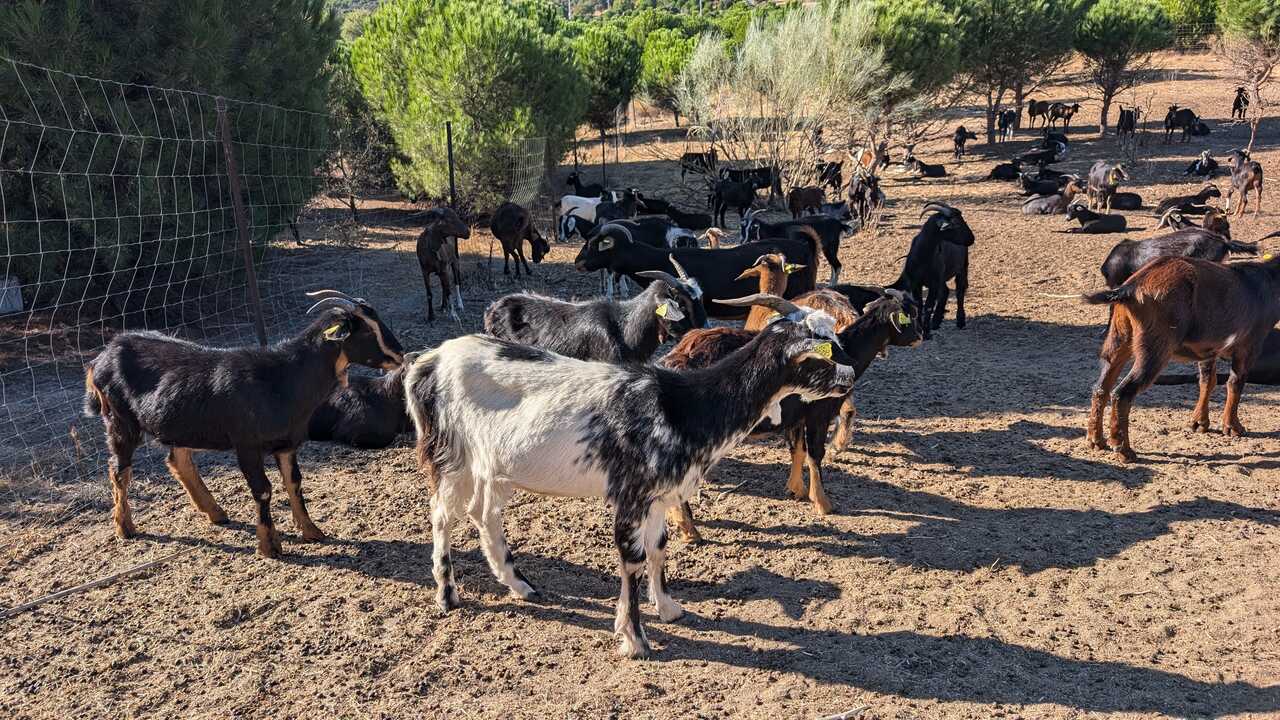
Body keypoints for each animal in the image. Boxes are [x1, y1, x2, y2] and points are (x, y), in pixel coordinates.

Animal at [84, 291, 404, 557]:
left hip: (180, 424)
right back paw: (125, 528)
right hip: (120, 421)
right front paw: (270, 547)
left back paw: (215, 513)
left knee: (178, 460)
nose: (399, 354)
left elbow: (294, 483)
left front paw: (312, 532)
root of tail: (101, 358)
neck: (283, 378)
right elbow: (263, 489)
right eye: (365, 330)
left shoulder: (287, 444)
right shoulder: (247, 444)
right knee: (119, 470)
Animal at [406, 317, 858, 658]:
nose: (850, 374)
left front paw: (669, 608)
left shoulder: (657, 496)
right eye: (818, 355)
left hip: (493, 465)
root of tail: (427, 361)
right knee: (443, 515)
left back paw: (520, 586)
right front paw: (635, 639)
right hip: (450, 453)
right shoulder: (631, 493)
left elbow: (659, 548)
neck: (682, 406)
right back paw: (448, 595)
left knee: (483, 514)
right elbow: (634, 560)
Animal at [888, 201, 975, 337]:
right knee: (945, 291)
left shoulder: (934, 283)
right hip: (942, 277)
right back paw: (936, 321)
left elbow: (928, 306)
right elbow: (919, 304)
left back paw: (960, 321)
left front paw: (926, 332)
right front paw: (920, 329)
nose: (971, 238)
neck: (923, 256)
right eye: (955, 223)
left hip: (962, 268)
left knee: (960, 292)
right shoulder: (916, 283)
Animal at [1083, 253, 1280, 462]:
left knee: (1101, 387)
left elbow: (1207, 380)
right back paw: (1124, 451)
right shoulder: (1249, 345)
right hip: (1155, 346)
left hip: (1120, 336)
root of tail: (1130, 287)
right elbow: (1235, 383)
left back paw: (1096, 441)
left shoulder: (1208, 348)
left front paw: (1199, 423)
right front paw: (1233, 427)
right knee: (1122, 393)